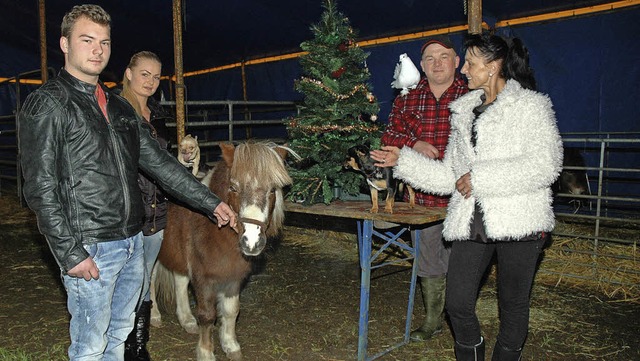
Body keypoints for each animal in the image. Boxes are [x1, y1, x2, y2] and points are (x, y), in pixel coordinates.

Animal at [155, 141, 292, 360]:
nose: (251, 242)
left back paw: (187, 320)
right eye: (234, 188)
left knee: (180, 281)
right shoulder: (203, 279)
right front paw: (206, 352)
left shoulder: (233, 279)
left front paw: (230, 345)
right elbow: (207, 315)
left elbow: (230, 311)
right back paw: (155, 316)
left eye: (272, 190)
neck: (213, 229)